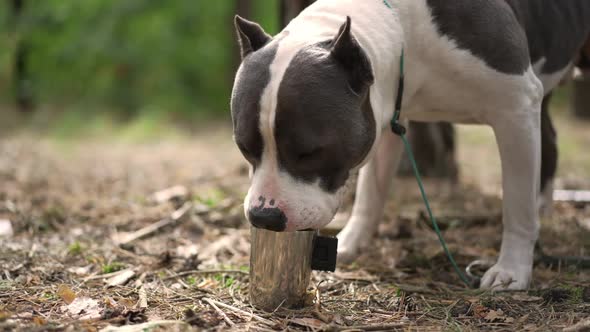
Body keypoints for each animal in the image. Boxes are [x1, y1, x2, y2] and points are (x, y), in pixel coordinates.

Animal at [230, 0, 590, 290]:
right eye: (245, 148)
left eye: (310, 152)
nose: (264, 216)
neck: (404, 32)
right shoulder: (383, 115)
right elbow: (370, 196)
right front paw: (350, 242)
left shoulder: (515, 105)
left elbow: (516, 202)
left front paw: (511, 269)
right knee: (548, 139)